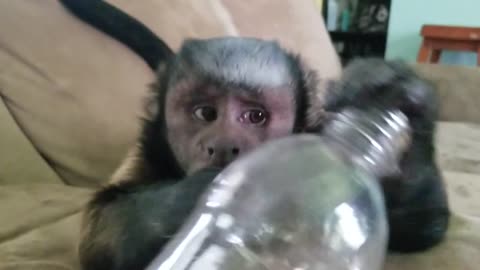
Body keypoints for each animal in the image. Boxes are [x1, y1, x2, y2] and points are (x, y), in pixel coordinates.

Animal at [61, 1, 450, 268]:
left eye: (255, 116)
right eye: (205, 113)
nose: (222, 146)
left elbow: (422, 225)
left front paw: (398, 99)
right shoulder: (146, 149)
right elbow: (98, 231)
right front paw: (202, 193)